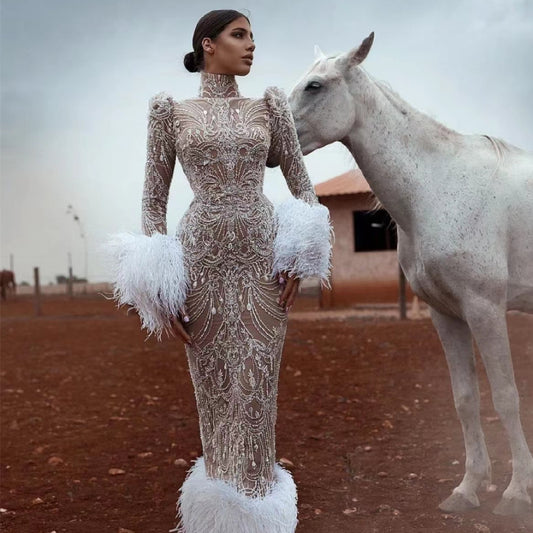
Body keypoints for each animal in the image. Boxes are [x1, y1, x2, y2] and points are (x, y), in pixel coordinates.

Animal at [286, 31, 532, 512]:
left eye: (315, 86)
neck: (437, 188)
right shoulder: (447, 314)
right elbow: (465, 399)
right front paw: (468, 489)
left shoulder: (486, 309)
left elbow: (507, 398)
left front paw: (515, 494)